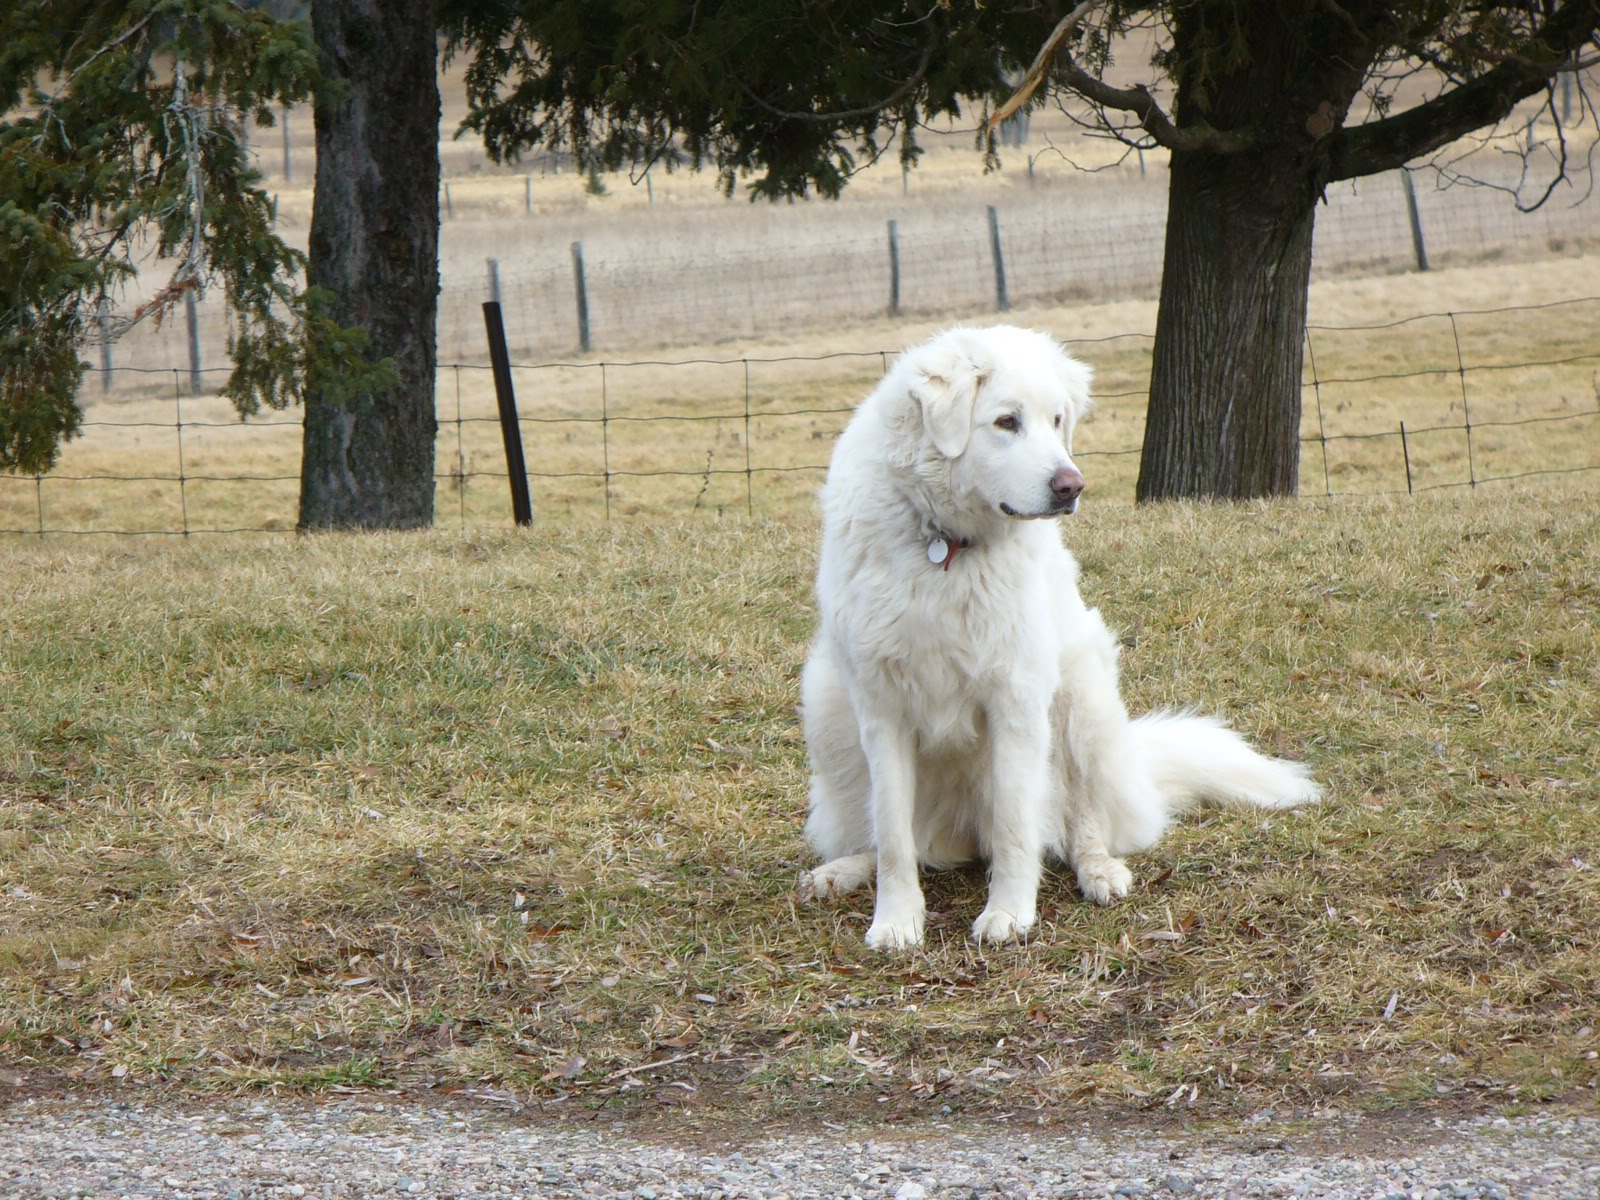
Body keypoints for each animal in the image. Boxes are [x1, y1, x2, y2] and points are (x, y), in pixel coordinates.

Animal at [793, 326, 1318, 947]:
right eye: (1006, 422)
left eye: (1057, 420)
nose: (1072, 485)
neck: (945, 546)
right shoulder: (881, 708)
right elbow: (894, 835)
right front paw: (896, 922)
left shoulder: (1016, 700)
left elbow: (1016, 824)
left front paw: (1009, 913)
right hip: (828, 704)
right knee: (896, 839)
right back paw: (844, 870)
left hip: (1083, 698)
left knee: (1080, 824)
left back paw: (1100, 872)